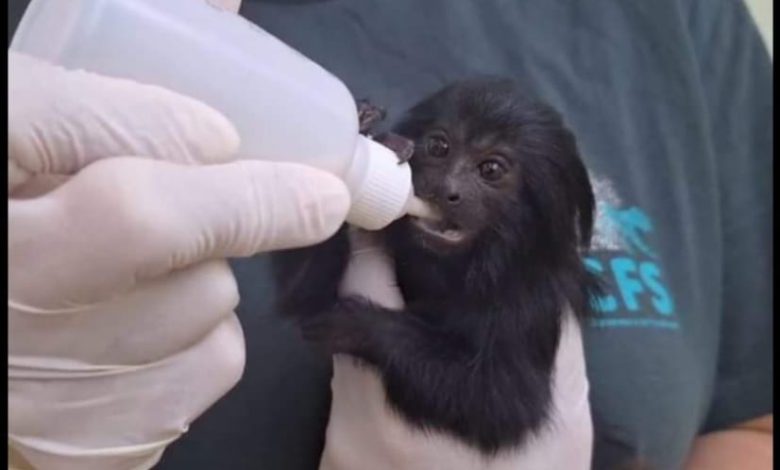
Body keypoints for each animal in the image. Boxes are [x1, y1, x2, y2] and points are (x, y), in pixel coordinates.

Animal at [272, 77, 596, 456]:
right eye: (439, 146)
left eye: (491, 169)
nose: (446, 189)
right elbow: (303, 296)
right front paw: (360, 129)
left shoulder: (532, 302)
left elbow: (505, 405)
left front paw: (360, 325)